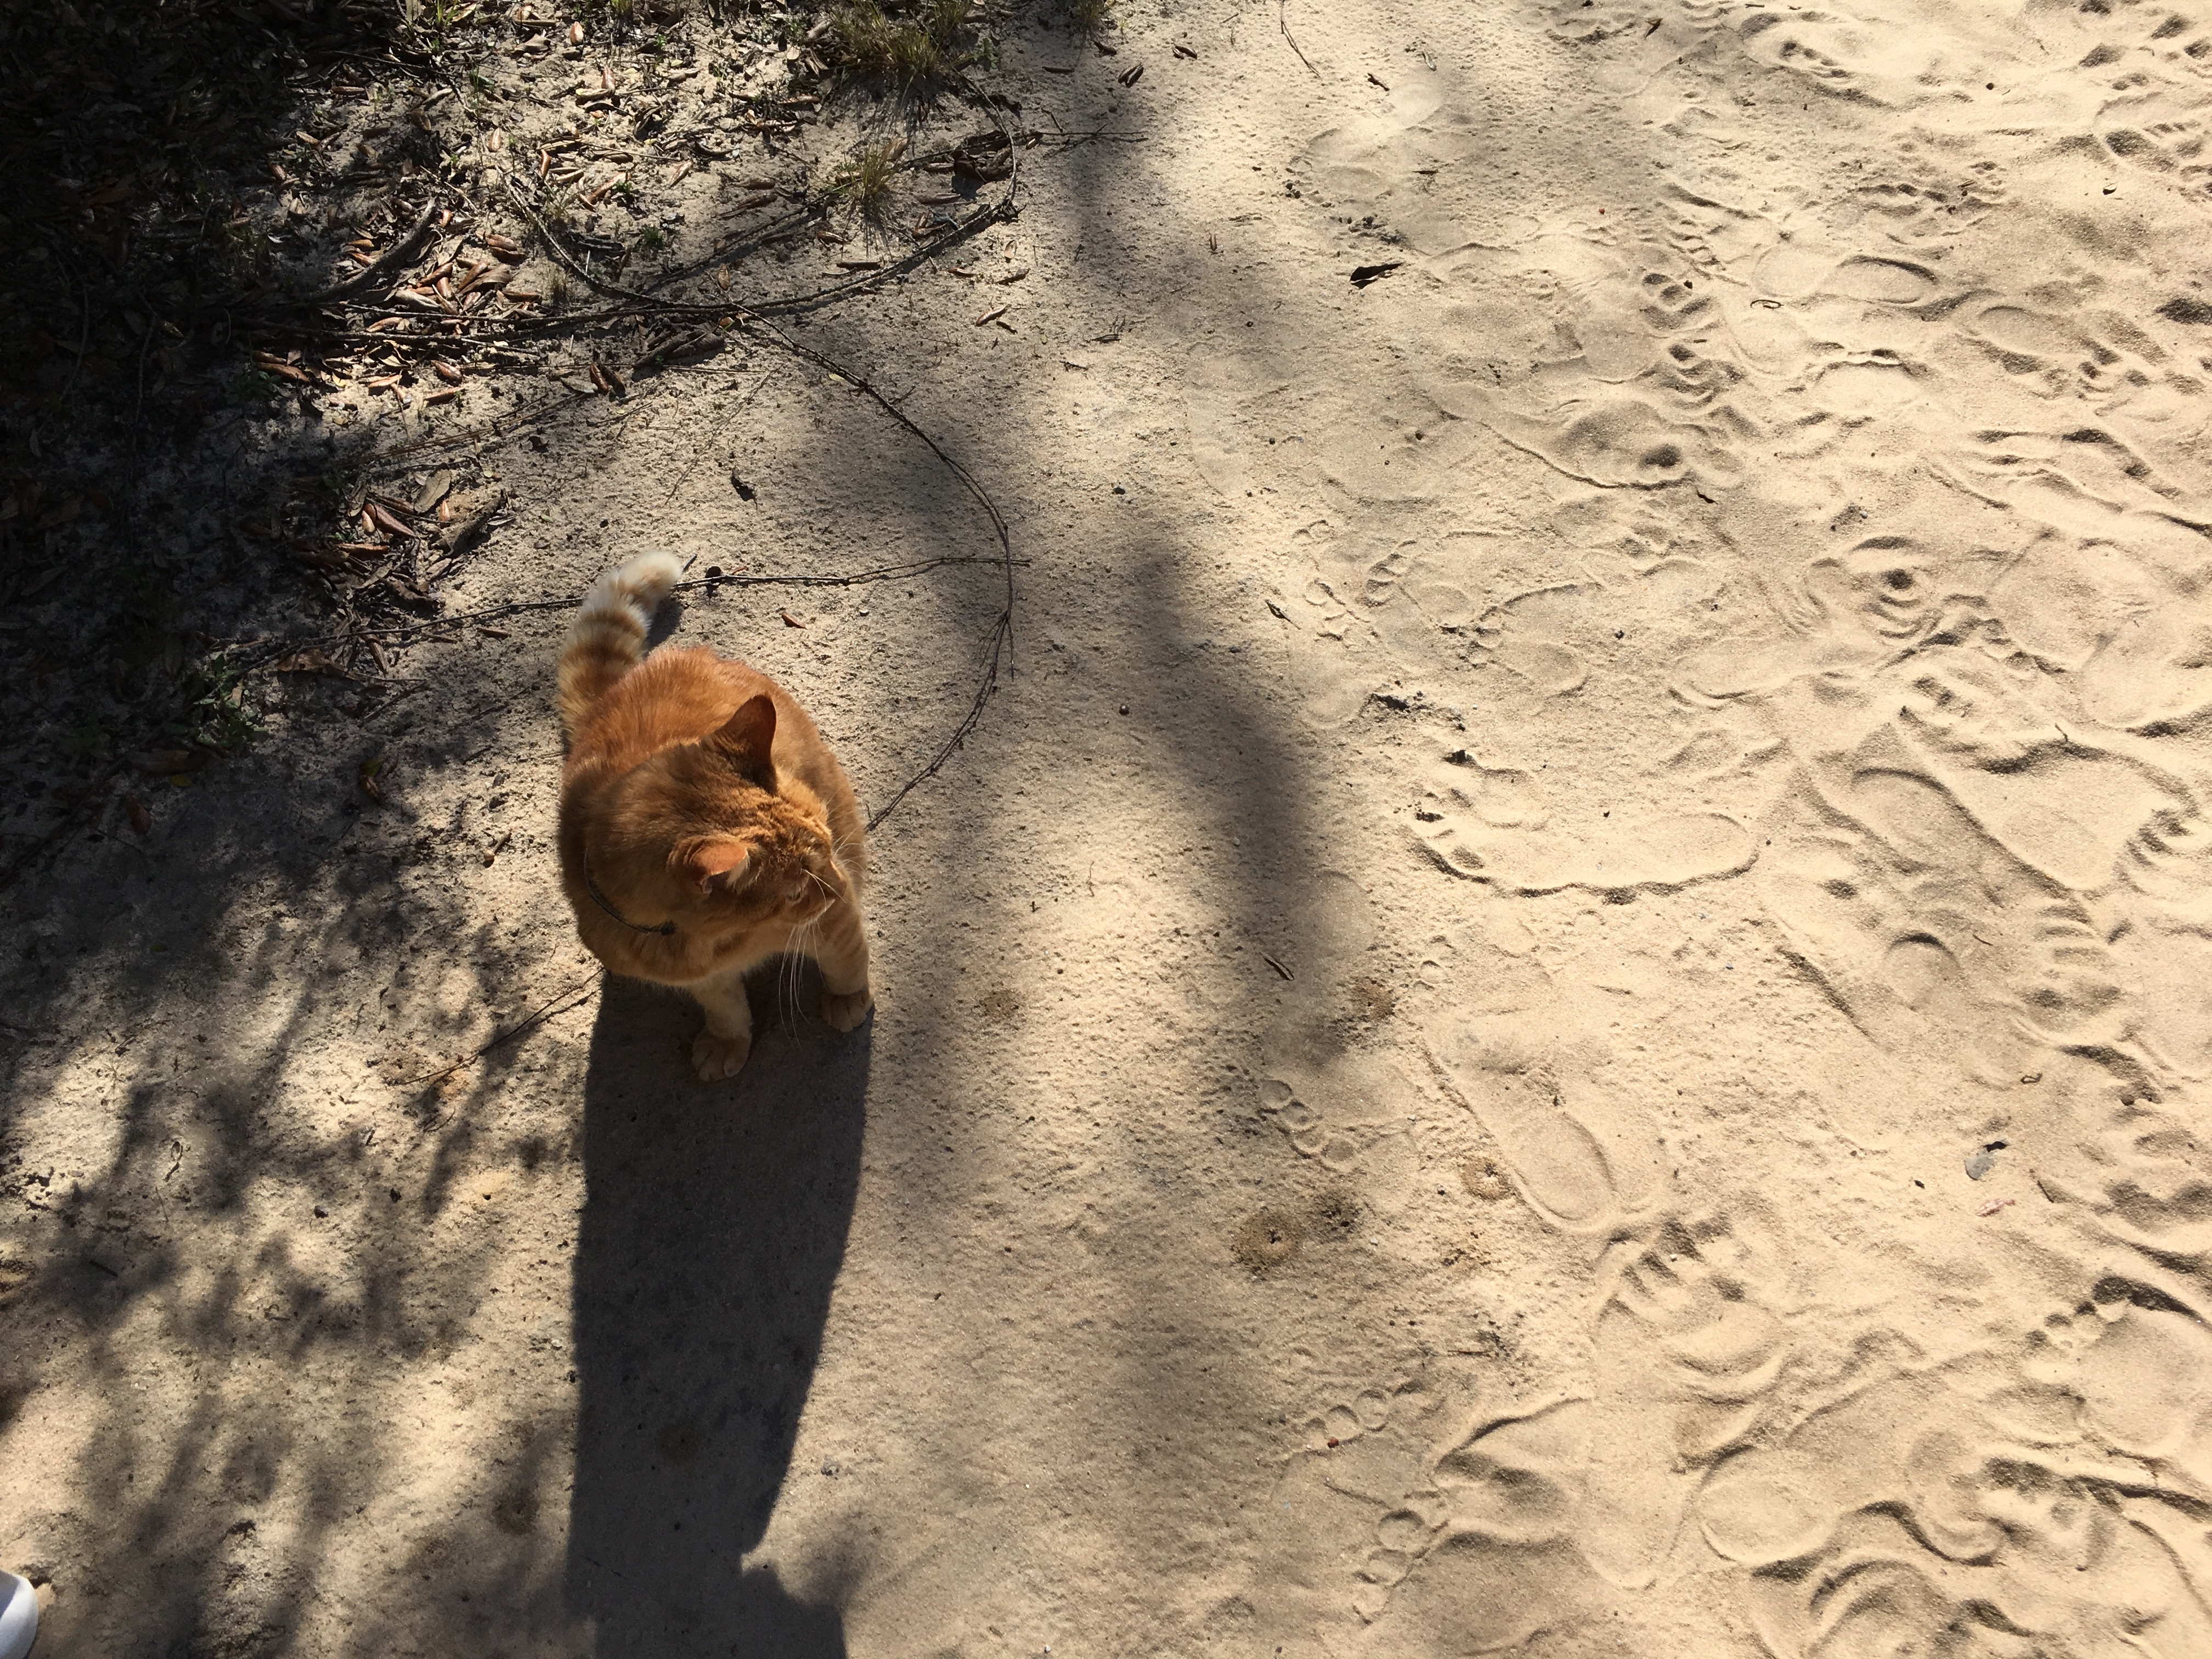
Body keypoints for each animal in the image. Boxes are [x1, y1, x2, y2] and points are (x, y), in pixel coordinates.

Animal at [556, 551, 873, 1080]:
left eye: (828, 847)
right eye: (795, 891)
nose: (835, 886)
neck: (715, 945)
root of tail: (616, 690)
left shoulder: (835, 921)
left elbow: (846, 960)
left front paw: (848, 999)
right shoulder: (701, 978)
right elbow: (724, 1006)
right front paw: (728, 1041)